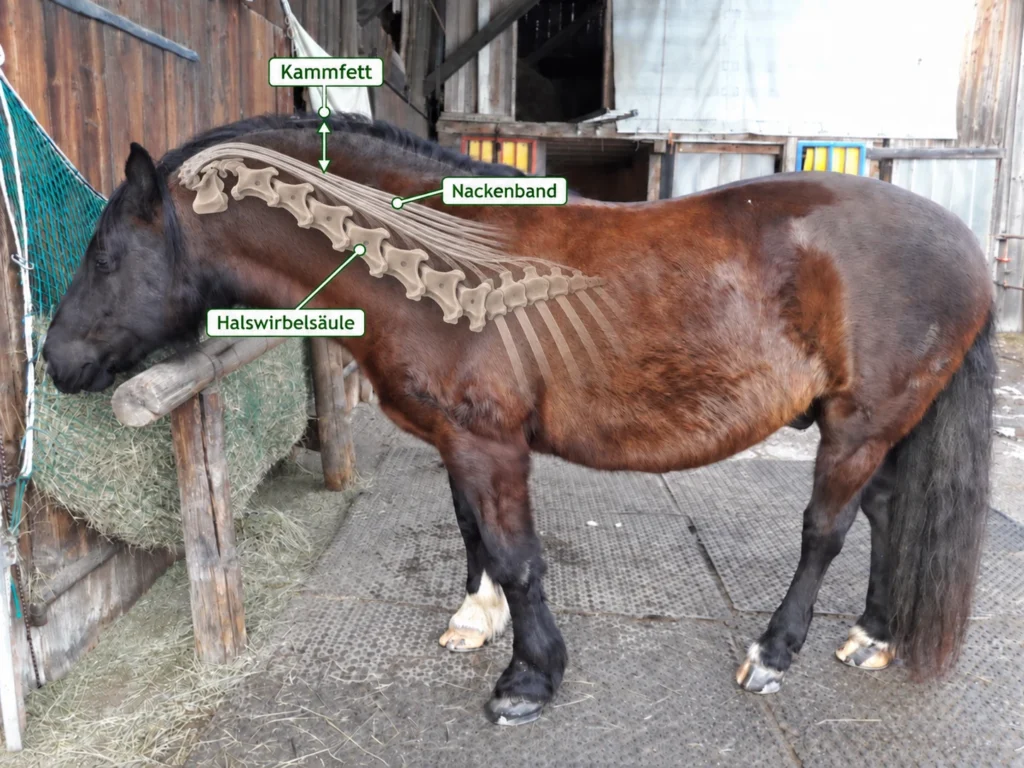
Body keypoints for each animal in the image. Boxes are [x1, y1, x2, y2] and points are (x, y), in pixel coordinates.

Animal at [43, 114, 995, 726]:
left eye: (105, 254)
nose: (53, 360)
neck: (427, 266)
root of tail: (964, 245)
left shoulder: (489, 441)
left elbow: (518, 554)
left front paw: (531, 677)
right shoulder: (459, 441)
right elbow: (473, 533)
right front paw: (479, 618)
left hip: (859, 426)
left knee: (824, 532)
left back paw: (775, 652)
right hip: (880, 430)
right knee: (887, 516)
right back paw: (873, 635)